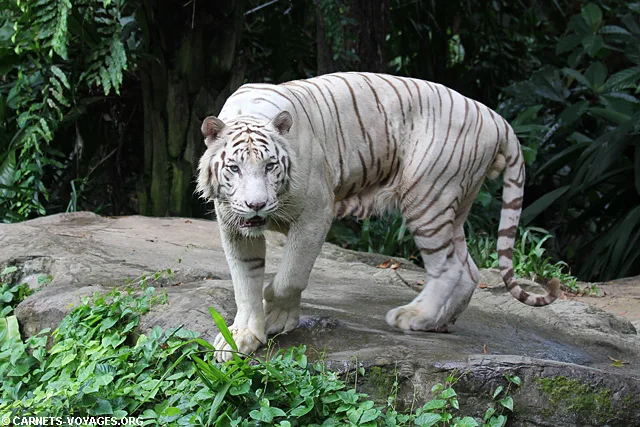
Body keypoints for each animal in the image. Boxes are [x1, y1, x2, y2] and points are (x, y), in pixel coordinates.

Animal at [196, 72, 561, 362]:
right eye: (234, 168)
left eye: (271, 166)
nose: (256, 205)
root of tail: (494, 116)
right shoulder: (233, 225)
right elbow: (245, 281)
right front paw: (241, 337)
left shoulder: (315, 213)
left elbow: (289, 278)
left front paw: (276, 315)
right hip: (454, 205)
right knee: (469, 268)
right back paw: (440, 323)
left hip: (427, 197)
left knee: (450, 268)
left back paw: (414, 317)